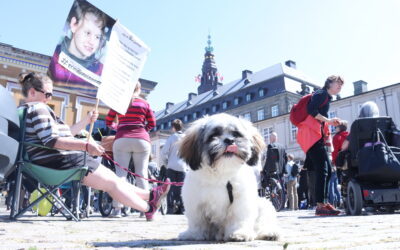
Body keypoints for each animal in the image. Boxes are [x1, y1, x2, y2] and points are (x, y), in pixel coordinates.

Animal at [177, 114, 280, 242]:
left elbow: (238, 217)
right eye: (213, 135)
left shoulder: (241, 200)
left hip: (263, 205)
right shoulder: (195, 201)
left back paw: (269, 233)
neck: (221, 172)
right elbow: (197, 221)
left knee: (261, 224)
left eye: (236, 134)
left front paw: (239, 233)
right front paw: (193, 234)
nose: (229, 140)